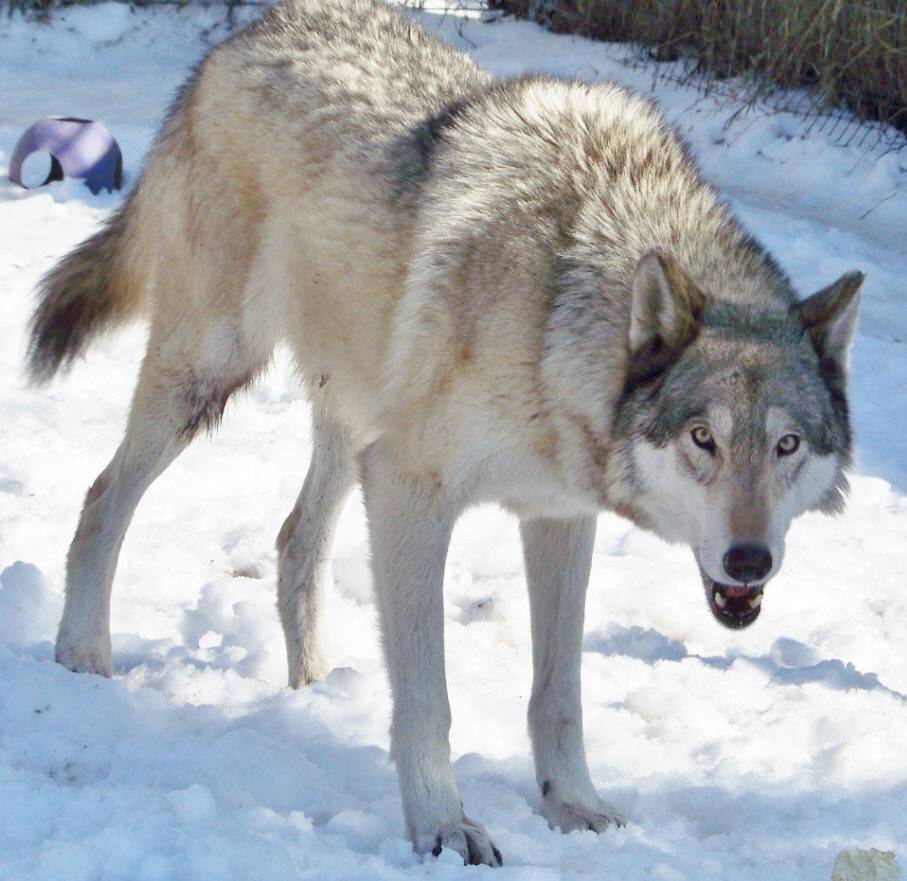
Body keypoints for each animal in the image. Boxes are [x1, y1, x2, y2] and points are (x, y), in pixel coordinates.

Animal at [26, 0, 864, 868]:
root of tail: (245, 35)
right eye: (702, 436)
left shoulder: (558, 517)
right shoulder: (409, 489)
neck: (556, 316)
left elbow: (558, 693)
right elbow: (429, 697)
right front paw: (441, 824)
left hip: (348, 418)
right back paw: (83, 654)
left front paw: (574, 805)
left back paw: (316, 687)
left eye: (785, 445)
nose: (749, 559)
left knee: (294, 540)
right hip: (210, 375)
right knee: (102, 498)